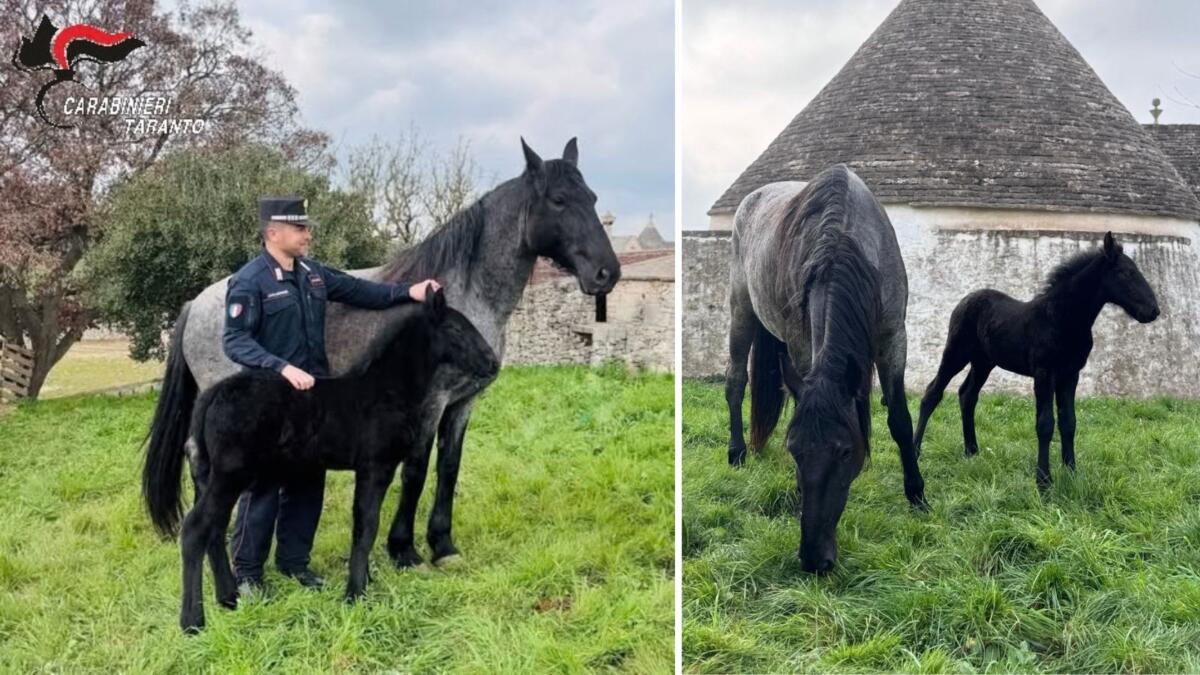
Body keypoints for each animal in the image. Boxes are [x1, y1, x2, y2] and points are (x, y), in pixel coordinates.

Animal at [143, 289, 500, 632]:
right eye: (455, 328)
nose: (493, 364)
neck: (385, 389)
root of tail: (212, 394)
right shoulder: (375, 467)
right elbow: (366, 526)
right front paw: (356, 593)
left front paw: (363, 583)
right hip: (231, 474)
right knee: (195, 529)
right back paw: (193, 622)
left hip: (211, 476)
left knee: (215, 530)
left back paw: (229, 599)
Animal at [144, 138, 620, 571]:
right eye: (559, 200)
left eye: (593, 198)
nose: (606, 273)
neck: (463, 297)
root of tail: (196, 304)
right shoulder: (429, 403)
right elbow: (417, 469)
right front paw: (404, 550)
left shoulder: (463, 403)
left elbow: (449, 468)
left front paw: (443, 546)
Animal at [724, 165, 927, 574]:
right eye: (794, 451)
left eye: (846, 452)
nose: (814, 559)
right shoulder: (803, 344)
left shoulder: (893, 338)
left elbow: (899, 420)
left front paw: (916, 494)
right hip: (742, 312)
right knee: (736, 381)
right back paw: (736, 452)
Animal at [912, 232, 1160, 489]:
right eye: (1125, 273)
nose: (1153, 311)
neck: (1061, 318)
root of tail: (965, 299)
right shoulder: (1044, 374)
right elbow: (1045, 424)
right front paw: (1044, 482)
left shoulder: (1070, 375)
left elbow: (1068, 422)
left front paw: (1071, 472)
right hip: (956, 354)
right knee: (932, 393)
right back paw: (915, 451)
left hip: (984, 362)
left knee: (967, 395)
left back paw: (972, 451)